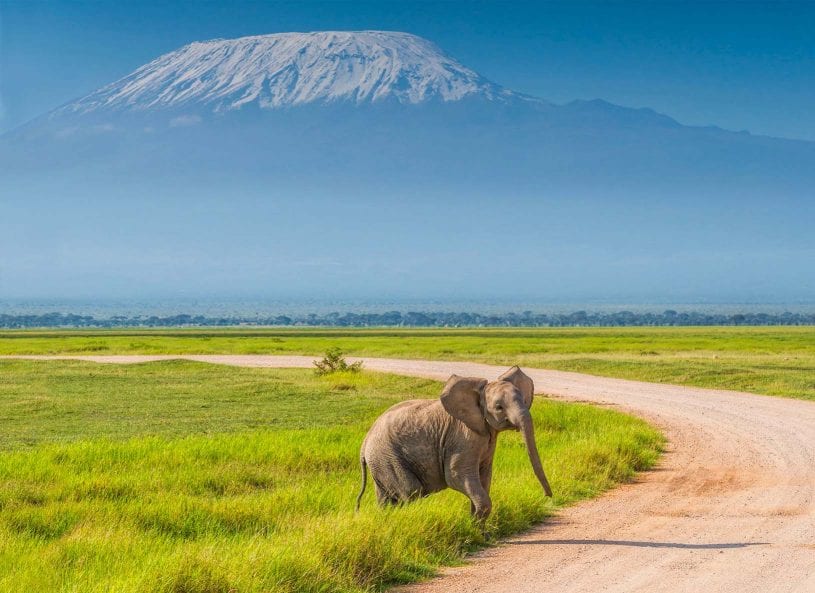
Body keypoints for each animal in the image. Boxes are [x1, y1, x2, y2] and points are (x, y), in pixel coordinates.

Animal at [356, 366, 556, 520]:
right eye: (499, 408)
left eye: (523, 400)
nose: (547, 496)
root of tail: (364, 443)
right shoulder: (462, 437)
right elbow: (456, 476)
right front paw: (475, 526)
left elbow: (484, 477)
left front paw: (477, 528)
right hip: (388, 457)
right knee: (411, 492)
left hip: (380, 462)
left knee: (386, 498)